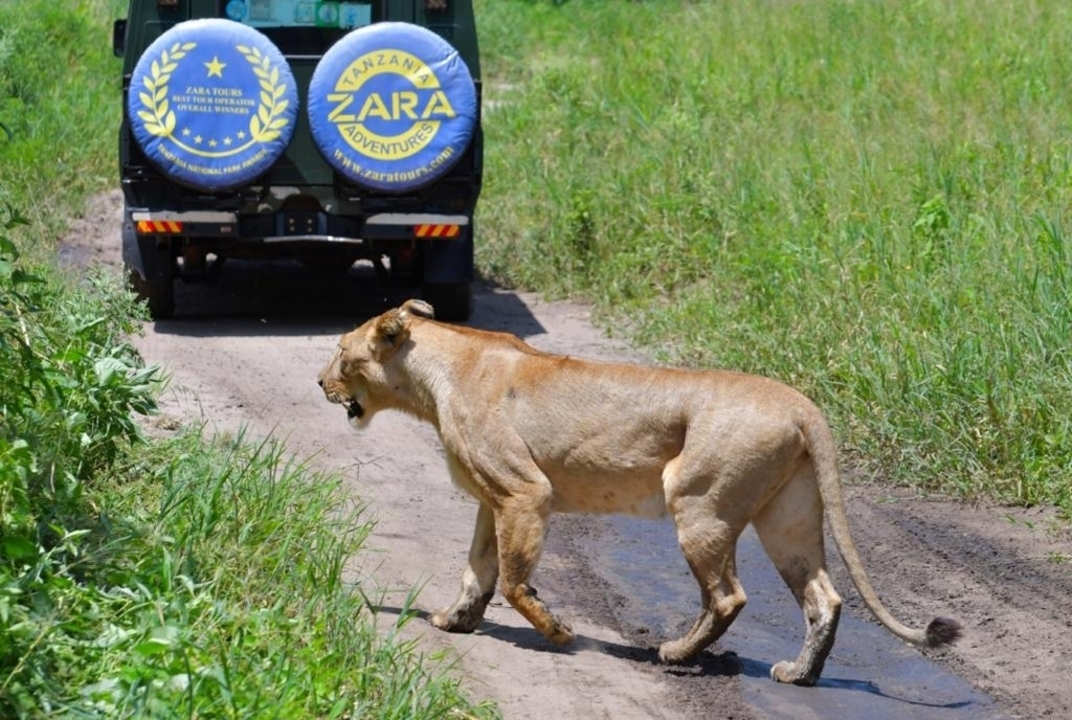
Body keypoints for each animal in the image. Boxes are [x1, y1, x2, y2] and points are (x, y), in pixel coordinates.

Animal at [317, 299, 961, 685]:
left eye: (341, 352)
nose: (319, 382)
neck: (433, 376)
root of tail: (804, 405)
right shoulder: (490, 498)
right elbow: (477, 569)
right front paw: (453, 620)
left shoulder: (525, 491)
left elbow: (514, 580)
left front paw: (559, 632)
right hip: (789, 518)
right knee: (824, 598)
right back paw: (798, 675)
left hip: (699, 502)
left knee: (727, 597)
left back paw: (675, 655)